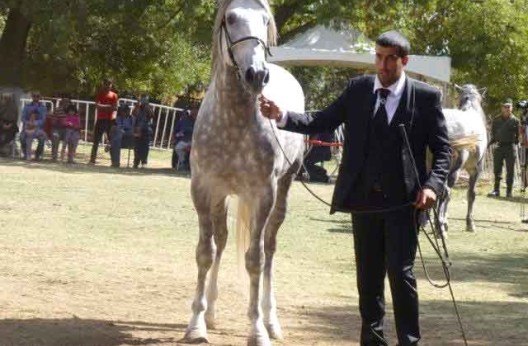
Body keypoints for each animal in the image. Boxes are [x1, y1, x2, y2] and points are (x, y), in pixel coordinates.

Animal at [184, 0, 306, 346]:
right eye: (230, 18)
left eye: (265, 20)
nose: (257, 74)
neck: (233, 121)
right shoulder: (204, 190)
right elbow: (206, 252)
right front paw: (196, 324)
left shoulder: (263, 194)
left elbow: (255, 260)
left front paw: (257, 329)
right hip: (223, 196)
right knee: (222, 240)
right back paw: (211, 312)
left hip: (283, 189)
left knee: (269, 248)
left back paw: (271, 320)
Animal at [436, 84, 488, 235]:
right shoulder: (476, 169)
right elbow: (471, 194)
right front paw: (470, 224)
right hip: (455, 169)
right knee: (445, 192)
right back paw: (440, 227)